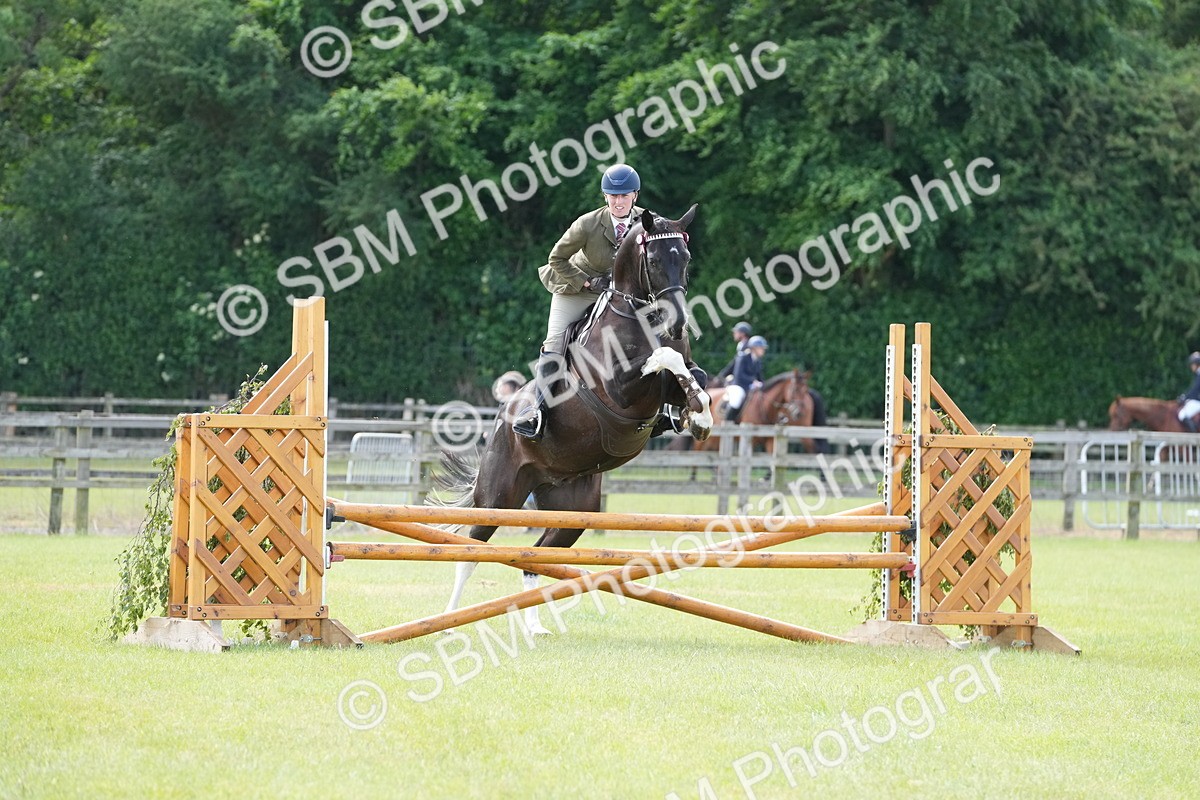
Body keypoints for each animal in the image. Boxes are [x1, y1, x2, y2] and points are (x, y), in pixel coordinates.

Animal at [436, 206, 713, 634]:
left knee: (536, 554)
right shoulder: (620, 388)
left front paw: (698, 415)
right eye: (652, 260)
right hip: (499, 496)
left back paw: (533, 626)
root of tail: (500, 420)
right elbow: (663, 359)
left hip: (571, 510)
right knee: (471, 550)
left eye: (686, 258)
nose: (678, 324)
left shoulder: (671, 379)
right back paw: (449, 620)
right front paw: (695, 410)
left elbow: (690, 373)